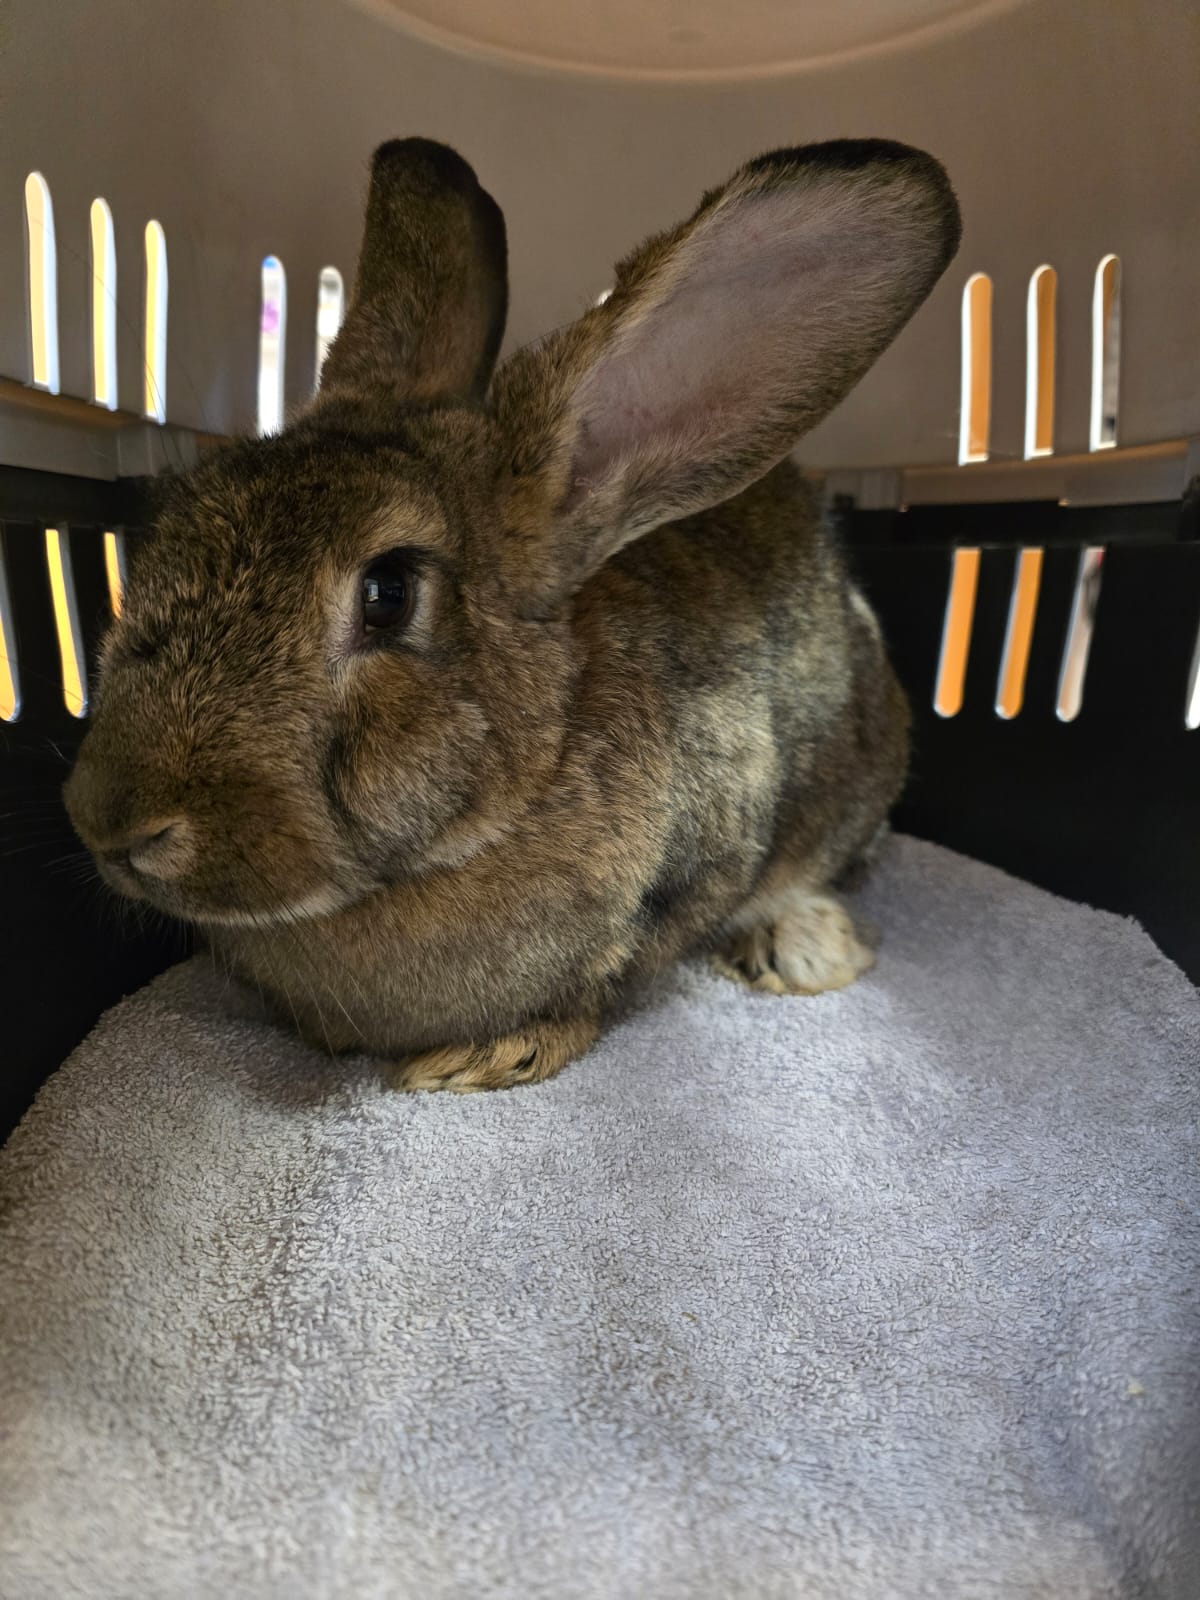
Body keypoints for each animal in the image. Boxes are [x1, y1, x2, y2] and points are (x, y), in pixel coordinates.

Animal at [65, 135, 960, 1092]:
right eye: (168, 526)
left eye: (387, 594)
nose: (109, 821)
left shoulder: (712, 856)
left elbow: (620, 977)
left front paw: (484, 1059)